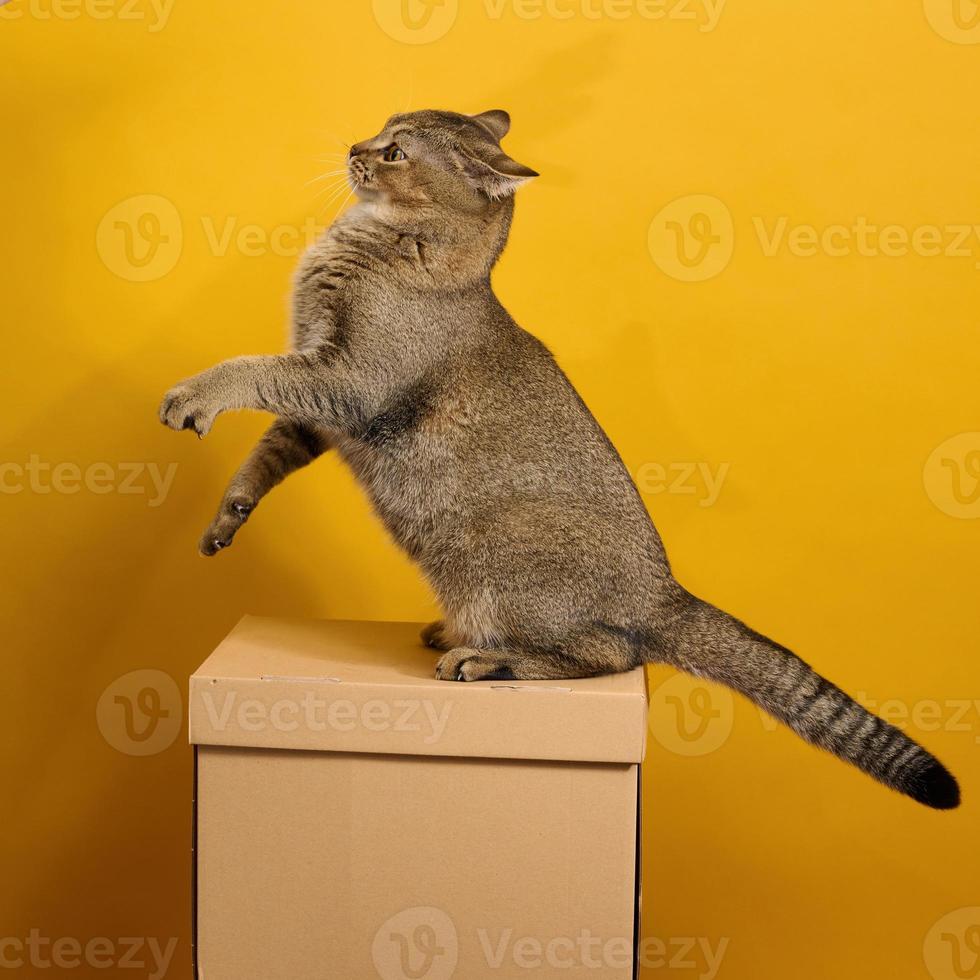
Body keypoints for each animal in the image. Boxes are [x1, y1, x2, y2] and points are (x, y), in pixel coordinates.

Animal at [159, 109, 956, 812]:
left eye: (396, 152)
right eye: (379, 131)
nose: (356, 146)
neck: (391, 245)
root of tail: (662, 594)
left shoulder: (346, 382)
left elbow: (250, 369)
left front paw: (192, 394)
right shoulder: (319, 408)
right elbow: (268, 448)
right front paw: (229, 512)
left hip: (493, 555)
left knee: (612, 654)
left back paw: (484, 656)